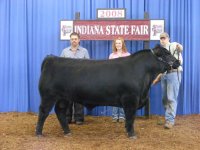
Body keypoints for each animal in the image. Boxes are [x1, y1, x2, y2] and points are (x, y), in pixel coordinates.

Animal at [35, 45, 180, 138]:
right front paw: (132, 134)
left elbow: (129, 118)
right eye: (166, 53)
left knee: (59, 112)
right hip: (48, 96)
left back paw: (67, 132)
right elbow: (131, 117)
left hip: (63, 98)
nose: (178, 62)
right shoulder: (131, 99)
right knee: (43, 112)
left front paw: (127, 131)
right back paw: (38, 133)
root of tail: (51, 58)